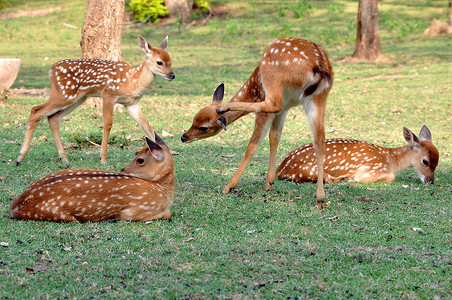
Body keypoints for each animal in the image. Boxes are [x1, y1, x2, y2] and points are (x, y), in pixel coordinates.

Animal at [11, 134, 175, 223]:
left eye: (140, 159)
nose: (122, 170)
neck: (162, 189)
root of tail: (15, 206)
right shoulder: (137, 210)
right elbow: (168, 214)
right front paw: (113, 218)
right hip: (56, 213)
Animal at [15, 36, 175, 165]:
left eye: (170, 61)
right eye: (159, 62)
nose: (172, 75)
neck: (132, 81)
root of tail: (51, 71)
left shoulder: (132, 103)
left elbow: (146, 125)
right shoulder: (108, 94)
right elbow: (108, 124)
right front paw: (103, 159)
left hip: (77, 99)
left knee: (52, 118)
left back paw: (64, 158)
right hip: (64, 93)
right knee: (36, 110)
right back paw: (20, 158)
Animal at [182, 37, 334, 209]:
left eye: (203, 128)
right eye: (193, 118)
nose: (183, 137)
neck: (253, 90)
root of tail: (319, 65)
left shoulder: (269, 108)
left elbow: (253, 145)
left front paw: (230, 186)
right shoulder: (284, 110)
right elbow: (274, 137)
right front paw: (269, 183)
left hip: (272, 77)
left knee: (271, 104)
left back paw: (225, 107)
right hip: (318, 97)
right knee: (319, 140)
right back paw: (320, 198)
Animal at [278, 125, 440, 184]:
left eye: (437, 164)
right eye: (425, 161)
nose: (430, 181)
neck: (391, 160)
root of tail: (281, 169)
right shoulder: (370, 169)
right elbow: (391, 177)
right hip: (313, 171)